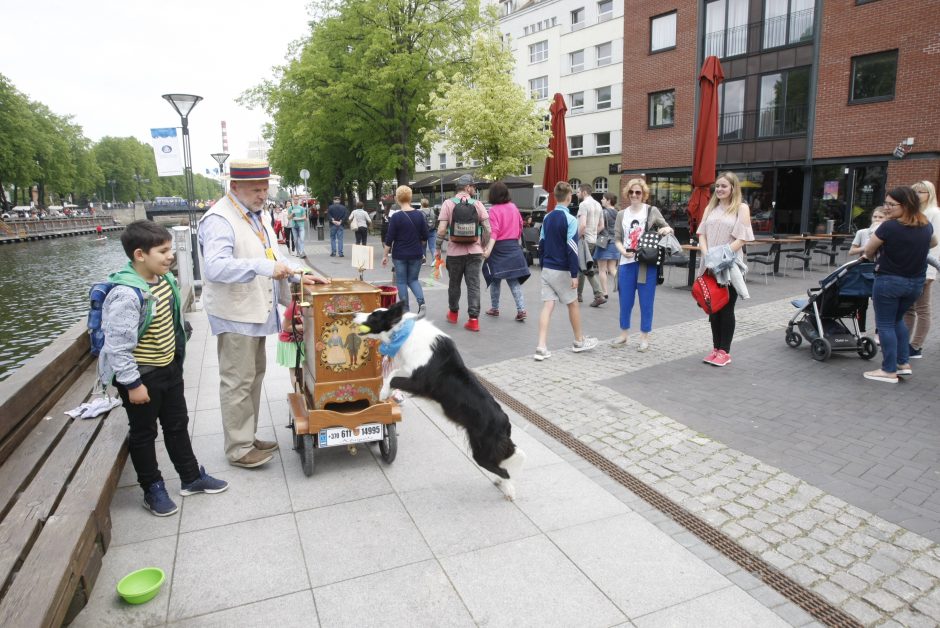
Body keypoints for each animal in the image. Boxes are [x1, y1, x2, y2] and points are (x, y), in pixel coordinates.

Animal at [354, 300, 524, 500]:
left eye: (374, 316)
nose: (354, 314)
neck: (404, 331)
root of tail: (504, 421)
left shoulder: (420, 383)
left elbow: (393, 377)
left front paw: (383, 393)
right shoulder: (410, 371)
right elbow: (394, 372)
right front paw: (386, 391)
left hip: (481, 452)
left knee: (505, 471)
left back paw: (508, 490)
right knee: (502, 464)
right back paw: (501, 483)